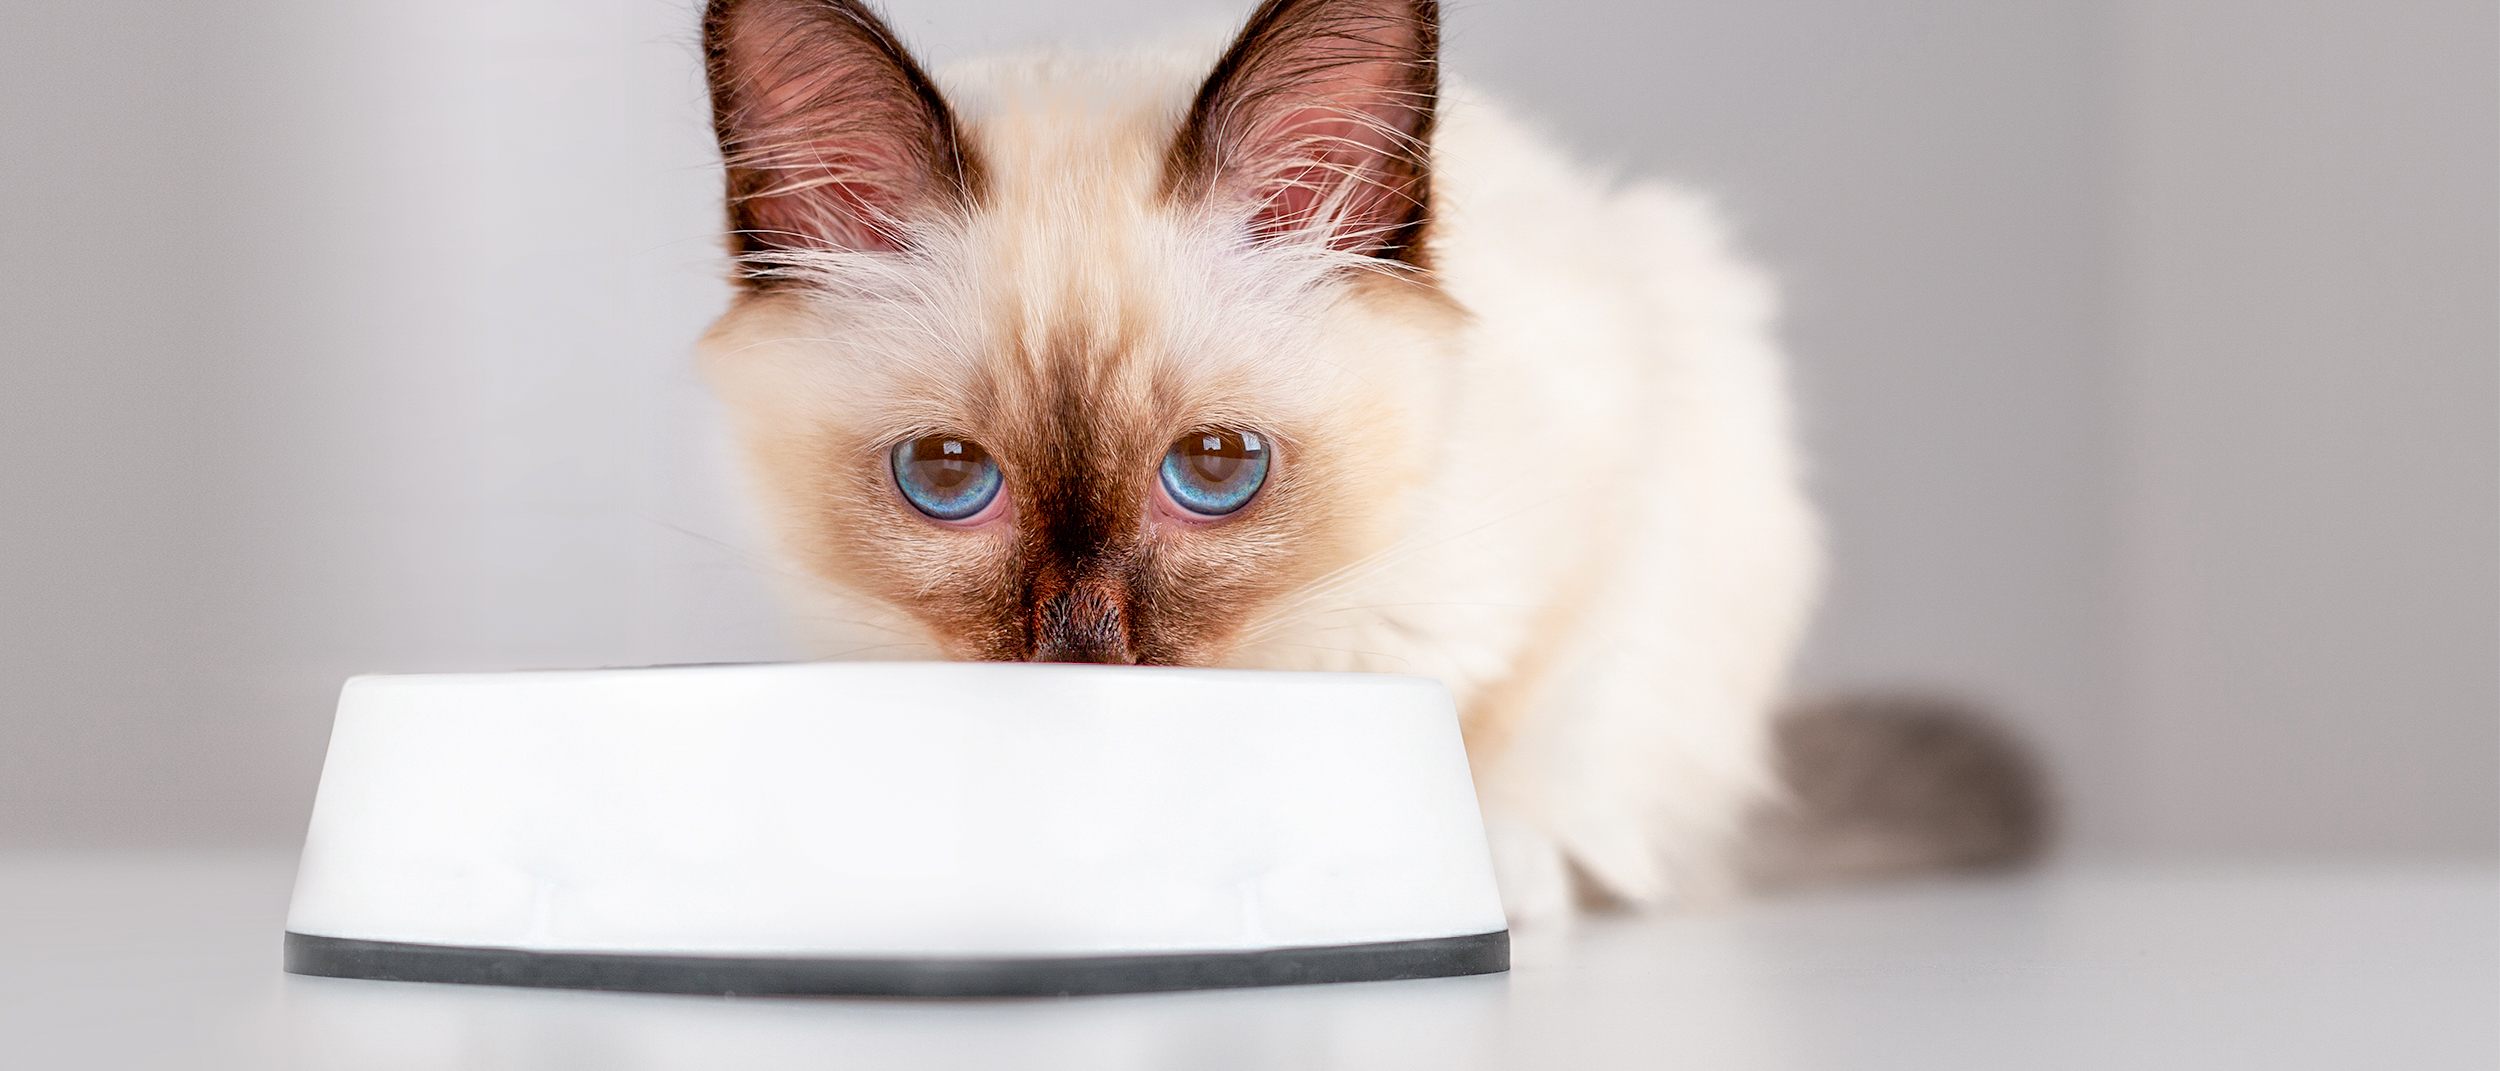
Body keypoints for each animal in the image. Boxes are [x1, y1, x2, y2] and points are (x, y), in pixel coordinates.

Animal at [695, 0, 2040, 925]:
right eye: (947, 478)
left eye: (1217, 469)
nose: (1083, 649)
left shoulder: (1626, 468)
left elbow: (1537, 719)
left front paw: (1477, 874)